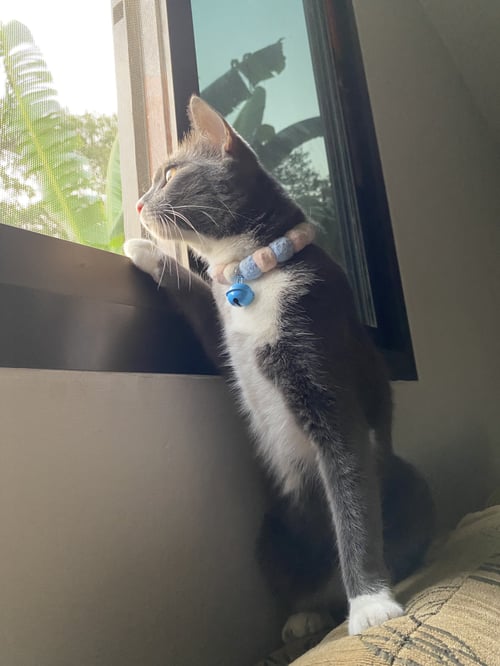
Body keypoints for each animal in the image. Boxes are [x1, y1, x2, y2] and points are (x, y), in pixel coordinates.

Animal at [124, 95, 434, 638]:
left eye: (170, 174)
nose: (139, 204)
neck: (256, 272)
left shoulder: (322, 351)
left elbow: (351, 487)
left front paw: (371, 604)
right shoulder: (227, 331)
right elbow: (201, 303)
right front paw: (144, 251)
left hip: (408, 485)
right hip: (272, 530)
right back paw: (305, 616)